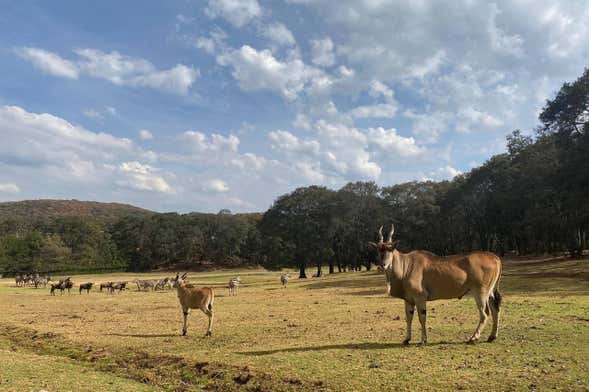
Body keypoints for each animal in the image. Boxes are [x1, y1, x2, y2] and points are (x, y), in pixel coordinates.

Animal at [368, 225, 500, 344]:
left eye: (391, 250)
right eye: (378, 250)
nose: (382, 265)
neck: (407, 266)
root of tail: (495, 258)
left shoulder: (420, 298)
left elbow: (422, 318)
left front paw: (423, 340)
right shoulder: (408, 300)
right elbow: (408, 318)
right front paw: (406, 339)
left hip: (480, 293)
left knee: (485, 314)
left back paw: (473, 338)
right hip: (490, 293)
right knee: (495, 310)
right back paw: (492, 337)